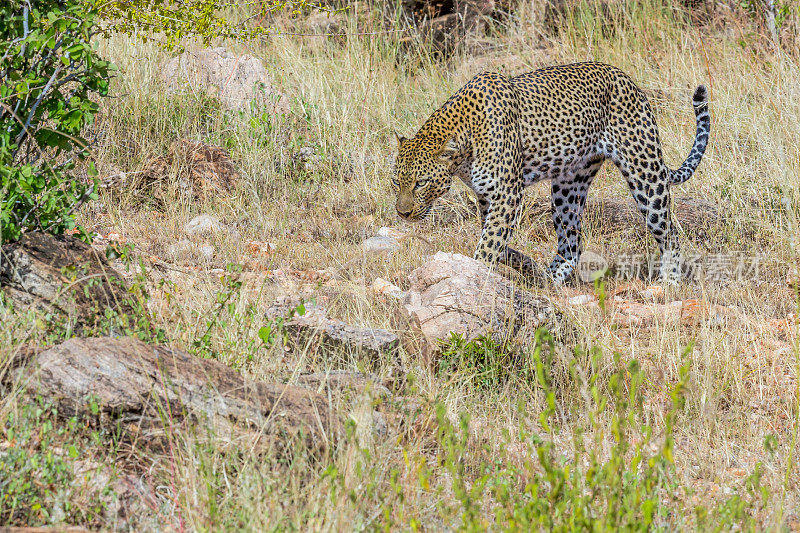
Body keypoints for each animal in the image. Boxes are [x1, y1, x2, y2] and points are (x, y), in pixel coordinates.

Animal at [390, 60, 708, 284]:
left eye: (420, 183)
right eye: (396, 182)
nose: (402, 214)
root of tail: (629, 80)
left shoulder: (507, 195)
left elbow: (489, 243)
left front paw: (475, 274)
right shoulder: (487, 197)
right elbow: (496, 240)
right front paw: (527, 266)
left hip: (646, 175)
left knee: (670, 234)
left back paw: (669, 282)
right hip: (569, 186)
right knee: (572, 245)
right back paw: (548, 281)